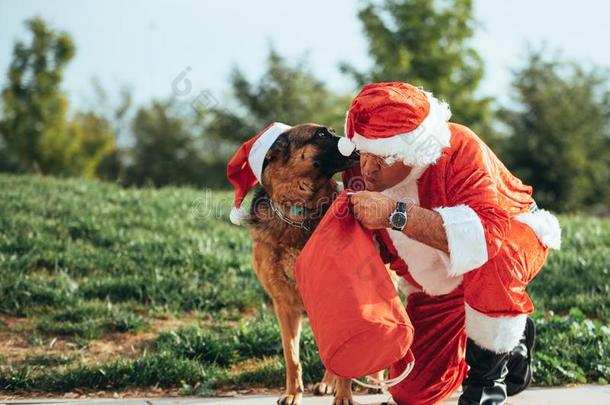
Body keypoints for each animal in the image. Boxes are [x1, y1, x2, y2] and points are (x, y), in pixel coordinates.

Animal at [243, 124, 368, 402]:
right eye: (321, 135)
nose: (357, 143)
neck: (297, 212)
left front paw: (344, 397)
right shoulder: (284, 305)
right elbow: (291, 357)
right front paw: (292, 394)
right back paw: (327, 383)